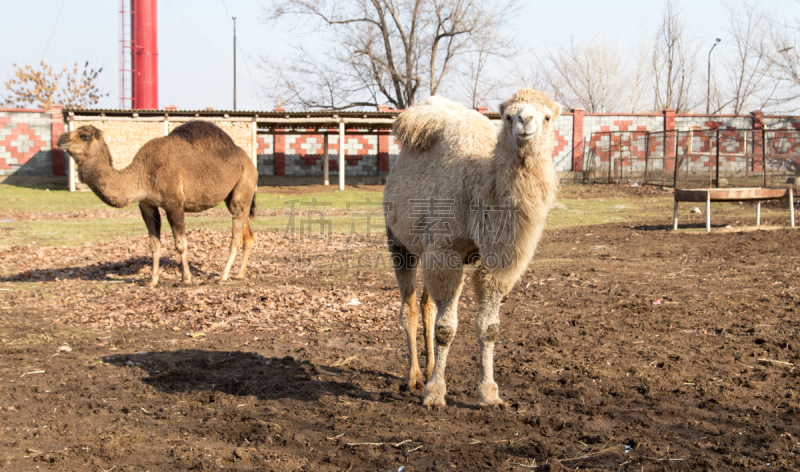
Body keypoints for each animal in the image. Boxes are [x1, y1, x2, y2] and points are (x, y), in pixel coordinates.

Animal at [59, 120, 260, 286]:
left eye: (84, 135)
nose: (60, 139)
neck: (142, 174)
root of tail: (250, 162)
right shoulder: (146, 204)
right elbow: (154, 244)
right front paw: (152, 281)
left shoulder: (174, 203)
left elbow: (180, 243)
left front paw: (186, 279)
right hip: (232, 196)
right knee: (248, 234)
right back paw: (239, 274)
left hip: (244, 183)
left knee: (236, 235)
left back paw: (223, 276)